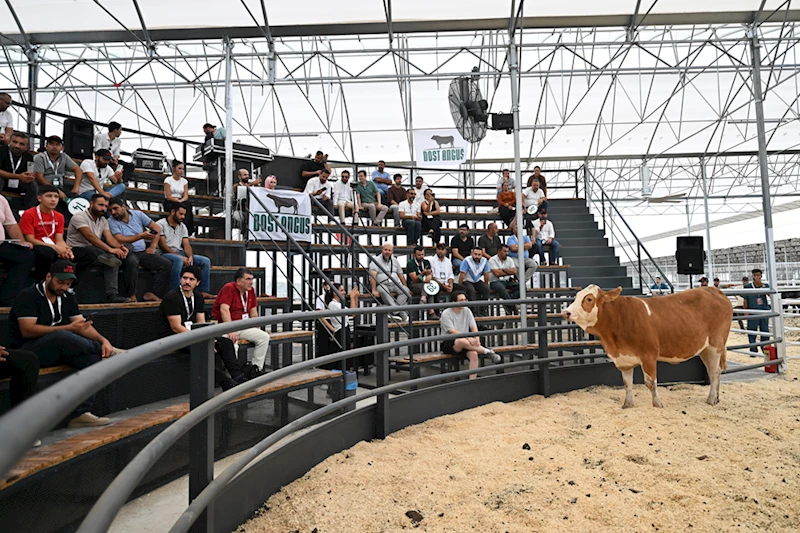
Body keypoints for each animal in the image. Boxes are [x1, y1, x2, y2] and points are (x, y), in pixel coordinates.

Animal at [564, 284, 732, 406]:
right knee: (713, 371)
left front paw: (657, 404)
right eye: (576, 297)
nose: (566, 312)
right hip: (705, 349)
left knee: (715, 372)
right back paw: (716, 398)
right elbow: (627, 383)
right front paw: (627, 405)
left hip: (715, 345)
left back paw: (711, 400)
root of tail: (713, 289)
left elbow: (651, 383)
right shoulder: (624, 359)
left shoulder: (649, 355)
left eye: (589, 299)